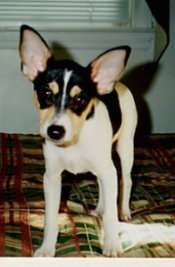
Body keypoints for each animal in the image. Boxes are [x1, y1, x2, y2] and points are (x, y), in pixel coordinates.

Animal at [18, 25, 137, 258]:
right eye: (46, 93)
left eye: (80, 99)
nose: (55, 131)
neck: (74, 142)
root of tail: (117, 83)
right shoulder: (52, 177)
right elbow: (51, 218)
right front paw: (47, 248)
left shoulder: (109, 169)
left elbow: (111, 215)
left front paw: (112, 244)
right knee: (101, 182)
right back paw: (100, 208)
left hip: (126, 147)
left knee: (125, 180)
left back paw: (124, 211)